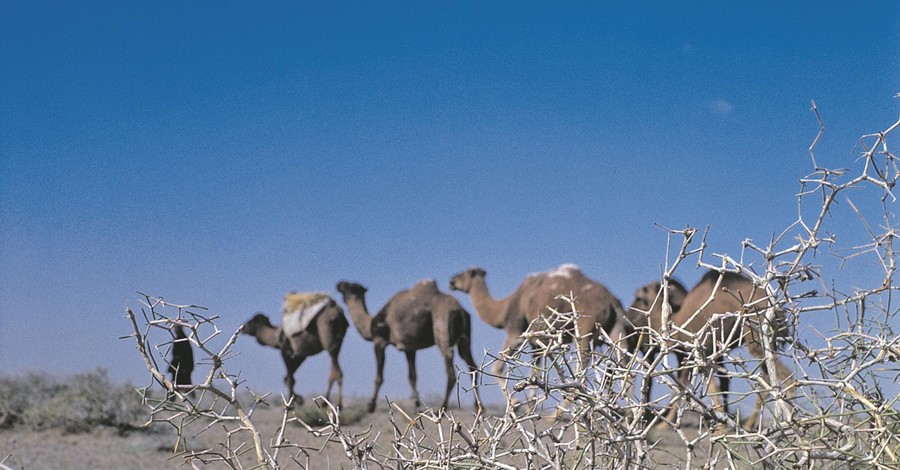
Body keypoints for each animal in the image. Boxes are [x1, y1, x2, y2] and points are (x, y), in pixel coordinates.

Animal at [334, 280, 482, 412]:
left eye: (347, 286)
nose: (338, 283)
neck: (370, 325)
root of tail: (460, 310)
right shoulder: (409, 348)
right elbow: (412, 376)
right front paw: (416, 404)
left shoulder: (379, 341)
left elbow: (379, 376)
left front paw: (370, 405)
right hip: (465, 338)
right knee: (472, 365)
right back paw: (478, 407)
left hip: (443, 329)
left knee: (450, 371)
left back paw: (440, 409)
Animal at [448, 264, 624, 396]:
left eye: (465, 273)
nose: (451, 281)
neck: (504, 308)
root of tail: (612, 301)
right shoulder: (537, 341)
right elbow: (535, 373)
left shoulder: (517, 330)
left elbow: (498, 366)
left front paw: (516, 405)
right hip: (616, 328)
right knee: (622, 358)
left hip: (584, 328)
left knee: (583, 362)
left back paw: (559, 413)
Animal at [628, 270, 792, 428]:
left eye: (640, 297)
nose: (630, 312)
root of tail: (779, 311)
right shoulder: (714, 353)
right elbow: (720, 383)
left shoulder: (699, 351)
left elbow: (701, 386)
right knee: (768, 377)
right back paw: (753, 425)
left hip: (758, 338)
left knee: (785, 375)